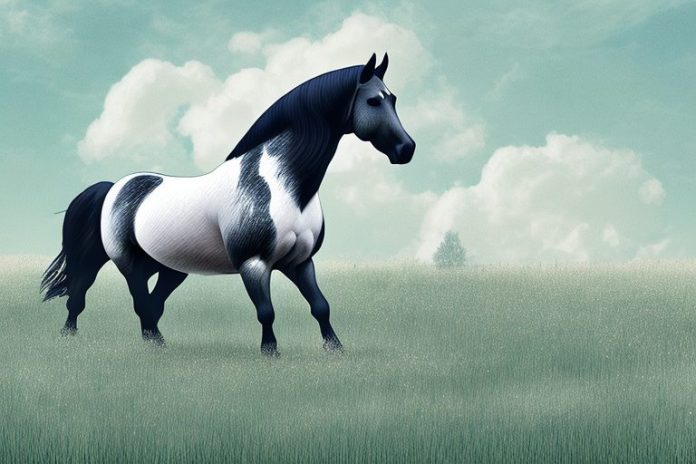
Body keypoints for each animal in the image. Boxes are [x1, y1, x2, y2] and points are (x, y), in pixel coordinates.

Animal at [41, 53, 415, 356]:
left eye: (394, 98)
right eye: (373, 102)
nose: (406, 149)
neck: (282, 187)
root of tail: (114, 188)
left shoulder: (300, 262)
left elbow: (321, 306)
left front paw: (335, 349)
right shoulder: (254, 264)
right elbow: (266, 310)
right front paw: (270, 352)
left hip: (167, 267)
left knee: (150, 306)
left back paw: (155, 345)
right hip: (124, 262)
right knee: (99, 296)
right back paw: (78, 337)